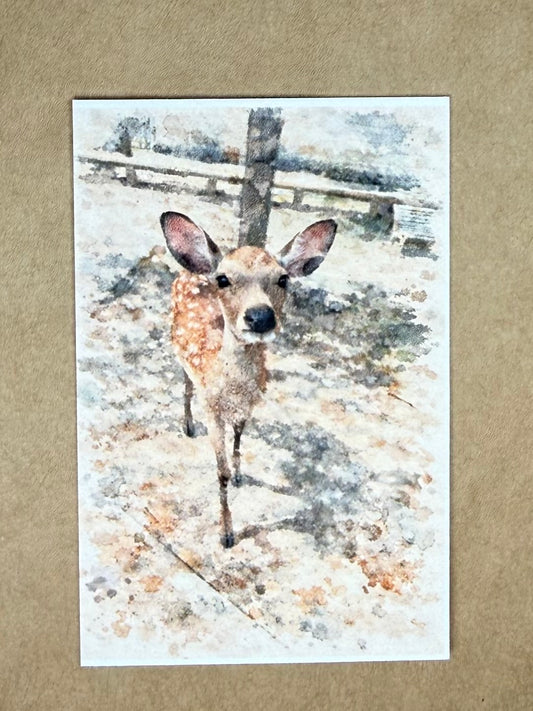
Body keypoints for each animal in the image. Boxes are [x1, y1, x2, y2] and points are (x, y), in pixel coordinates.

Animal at [160, 211, 337, 548]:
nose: (260, 317)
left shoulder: (250, 404)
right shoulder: (212, 410)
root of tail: (189, 271)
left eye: (283, 279)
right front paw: (226, 533)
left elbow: (240, 437)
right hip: (178, 348)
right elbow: (221, 473)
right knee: (186, 385)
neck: (233, 388)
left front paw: (242, 474)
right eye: (224, 279)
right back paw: (187, 425)